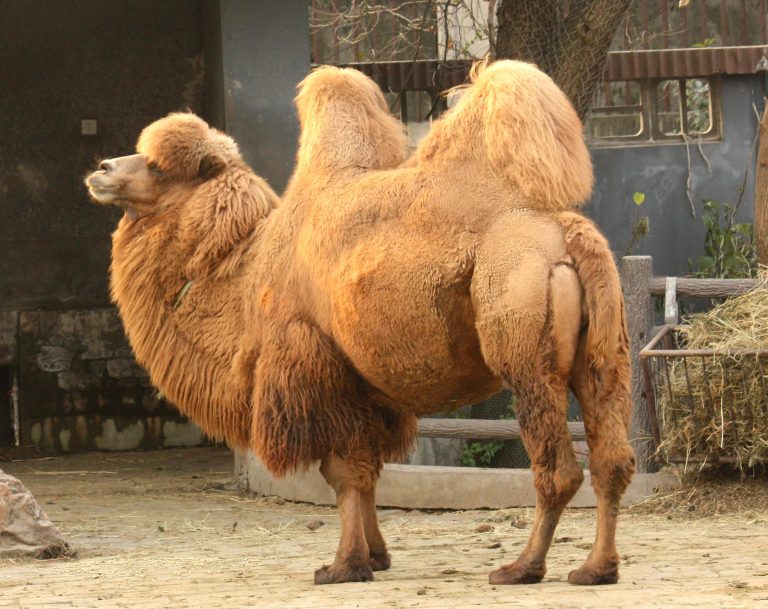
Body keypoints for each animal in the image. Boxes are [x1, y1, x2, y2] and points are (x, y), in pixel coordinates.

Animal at [85, 59, 635, 587]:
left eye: (157, 167)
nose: (102, 169)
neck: (245, 277)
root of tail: (566, 233)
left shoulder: (315, 366)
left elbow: (342, 473)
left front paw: (342, 566)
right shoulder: (367, 386)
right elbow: (368, 473)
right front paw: (376, 554)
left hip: (523, 347)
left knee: (558, 469)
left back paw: (522, 568)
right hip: (604, 357)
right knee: (612, 460)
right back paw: (596, 569)